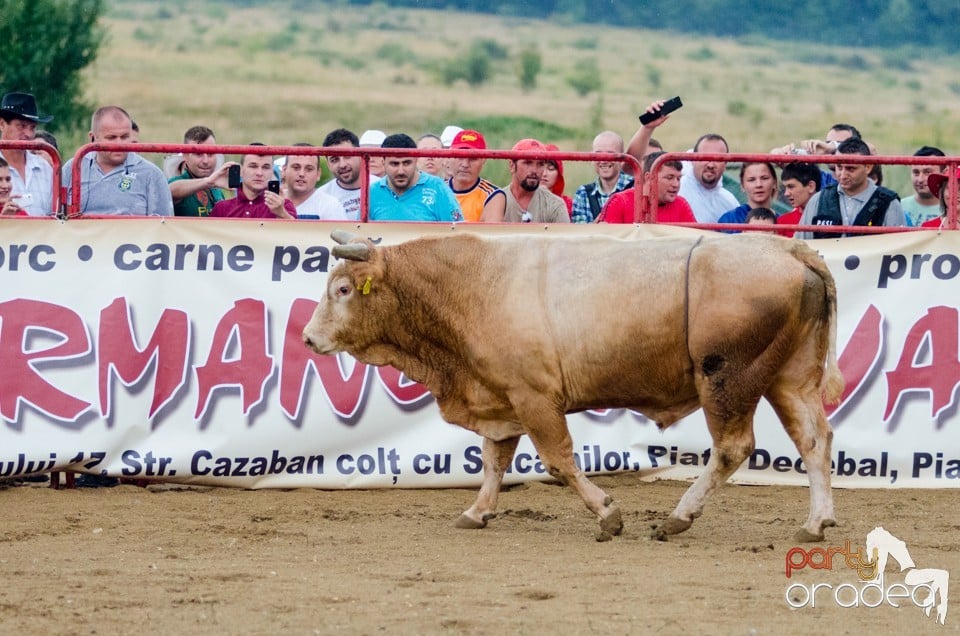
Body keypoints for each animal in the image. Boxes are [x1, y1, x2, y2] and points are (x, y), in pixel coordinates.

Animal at [304, 230, 844, 540]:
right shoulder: (501, 398)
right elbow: (494, 460)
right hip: (790, 378)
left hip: (728, 378)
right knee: (815, 440)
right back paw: (815, 522)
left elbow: (559, 460)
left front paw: (607, 514)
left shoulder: (534, 398)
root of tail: (789, 247)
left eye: (343, 289)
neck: (476, 284)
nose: (309, 337)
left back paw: (679, 517)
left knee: (732, 448)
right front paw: (477, 512)